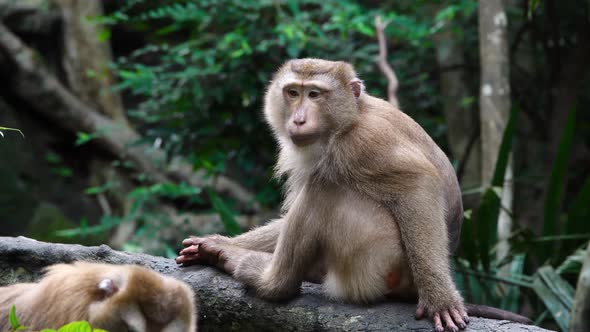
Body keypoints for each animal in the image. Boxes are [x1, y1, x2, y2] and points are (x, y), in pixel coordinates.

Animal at [178, 59, 524, 332]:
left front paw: (440, 298)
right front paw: (216, 243)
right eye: (293, 93)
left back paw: (272, 282)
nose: (298, 119)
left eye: (315, 94)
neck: (347, 120)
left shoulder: (365, 142)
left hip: (378, 262)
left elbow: (418, 186)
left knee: (324, 190)